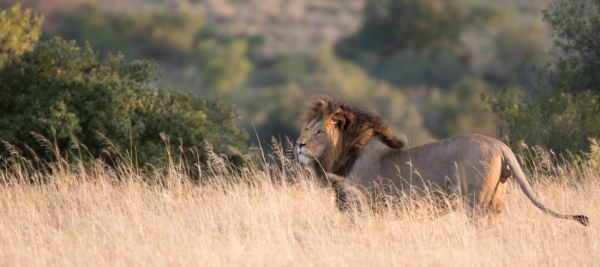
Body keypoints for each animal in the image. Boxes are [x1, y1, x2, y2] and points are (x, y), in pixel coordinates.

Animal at [298, 95, 588, 227]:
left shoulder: (360, 208)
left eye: (319, 132)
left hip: (475, 204)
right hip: (495, 203)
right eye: (306, 128)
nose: (299, 145)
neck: (348, 153)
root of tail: (501, 146)